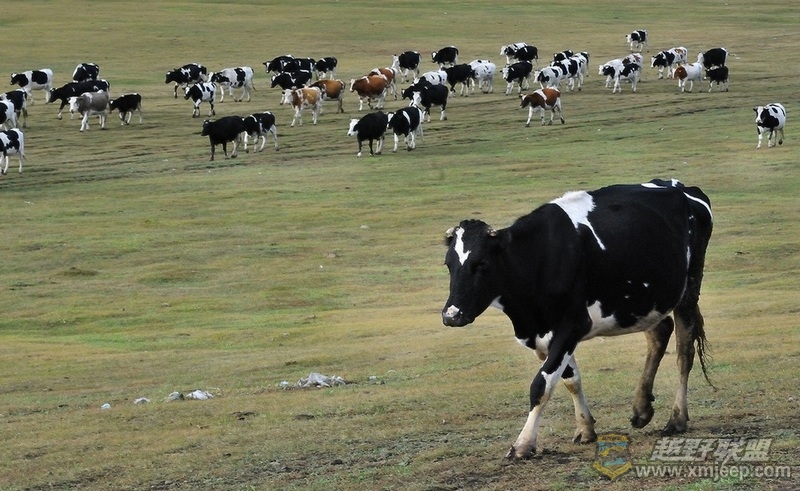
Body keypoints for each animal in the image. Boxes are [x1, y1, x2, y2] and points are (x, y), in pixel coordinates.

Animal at [442, 179, 714, 461]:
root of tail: (681, 187)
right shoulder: (548, 333)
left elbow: (541, 385)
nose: (451, 315)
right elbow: (570, 380)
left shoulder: (572, 325)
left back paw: (677, 418)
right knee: (660, 332)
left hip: (688, 289)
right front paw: (585, 428)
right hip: (643, 302)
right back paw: (641, 409)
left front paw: (523, 444)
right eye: (449, 264)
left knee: (684, 353)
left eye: (481, 263)